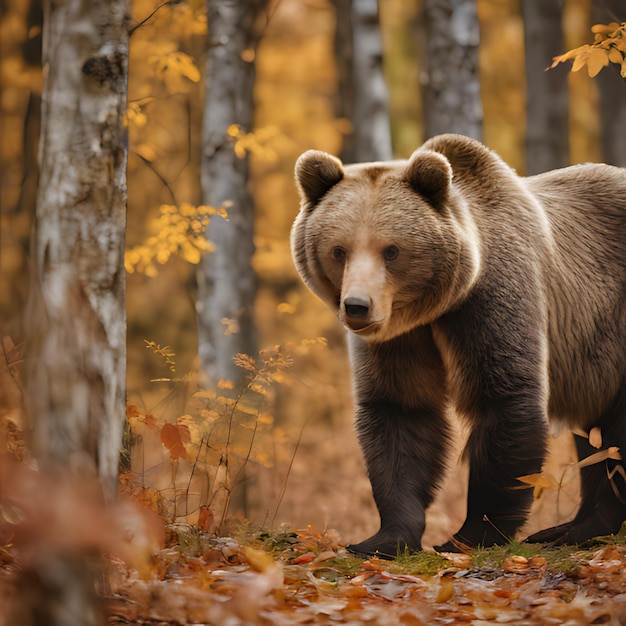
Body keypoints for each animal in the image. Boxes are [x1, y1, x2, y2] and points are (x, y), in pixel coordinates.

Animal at [292, 133, 624, 556]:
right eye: (339, 250)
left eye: (392, 250)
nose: (356, 306)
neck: (435, 306)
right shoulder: (399, 337)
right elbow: (401, 410)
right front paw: (384, 537)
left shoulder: (493, 297)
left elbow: (503, 400)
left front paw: (468, 536)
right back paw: (569, 528)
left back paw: (580, 528)